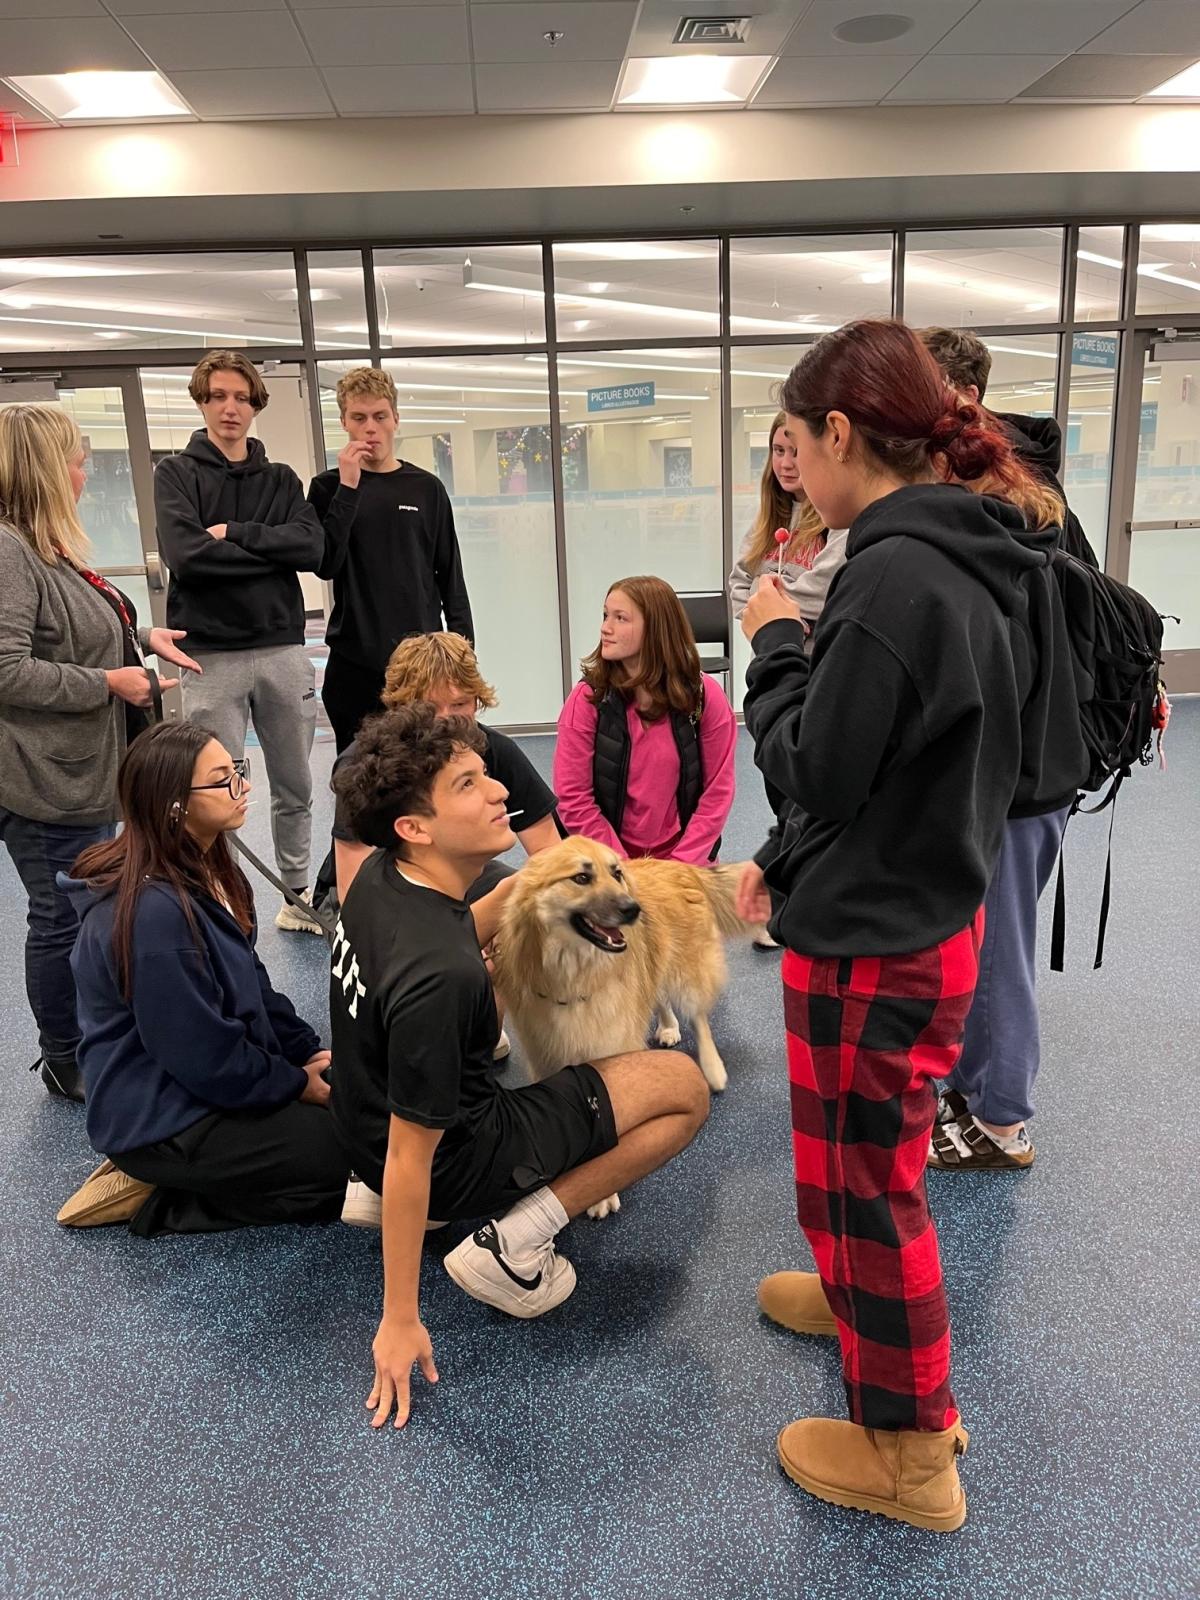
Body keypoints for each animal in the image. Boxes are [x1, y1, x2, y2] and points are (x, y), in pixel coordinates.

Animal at [492, 832, 755, 1094]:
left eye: (617, 874)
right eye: (581, 878)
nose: (634, 909)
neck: (575, 972)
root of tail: (680, 867)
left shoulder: (614, 1043)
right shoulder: (545, 1055)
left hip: (687, 976)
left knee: (698, 1017)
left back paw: (713, 1068)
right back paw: (669, 1026)